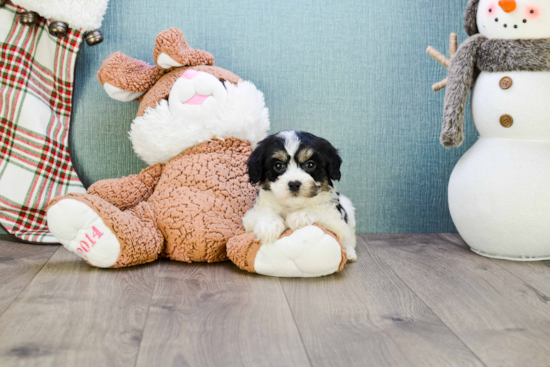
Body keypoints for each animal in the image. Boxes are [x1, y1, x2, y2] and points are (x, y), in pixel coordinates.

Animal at [245, 131, 358, 260]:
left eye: (310, 165)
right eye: (278, 166)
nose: (294, 184)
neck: (294, 205)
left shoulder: (337, 221)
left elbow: (320, 211)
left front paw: (300, 215)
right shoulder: (250, 216)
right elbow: (265, 211)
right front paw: (269, 226)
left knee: (349, 240)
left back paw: (349, 252)